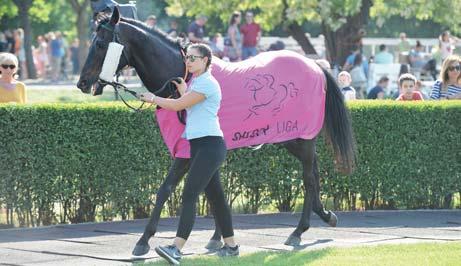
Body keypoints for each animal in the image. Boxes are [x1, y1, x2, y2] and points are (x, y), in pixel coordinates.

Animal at [76, 8, 356, 256]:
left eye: (100, 43)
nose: (82, 83)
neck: (183, 77)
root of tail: (314, 64)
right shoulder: (202, 151)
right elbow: (213, 193)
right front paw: (218, 238)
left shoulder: (186, 152)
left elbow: (166, 189)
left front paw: (143, 240)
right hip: (293, 139)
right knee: (315, 171)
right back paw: (325, 215)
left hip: (298, 138)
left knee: (308, 178)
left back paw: (299, 231)